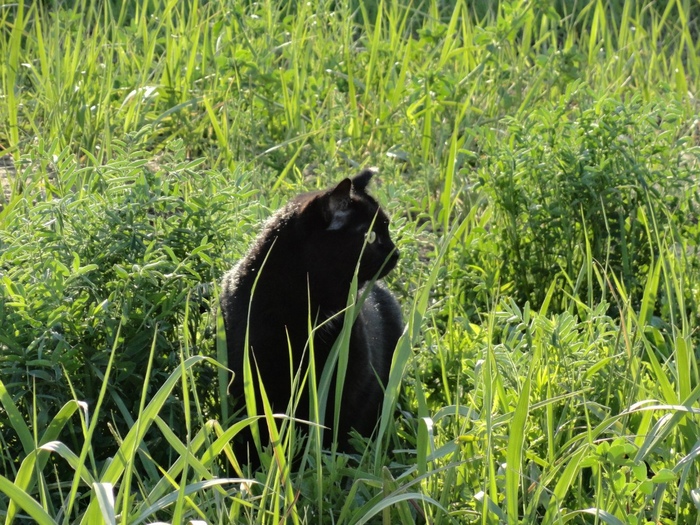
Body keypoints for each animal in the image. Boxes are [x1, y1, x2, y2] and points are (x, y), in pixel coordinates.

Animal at [221, 169, 402, 466]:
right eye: (371, 236)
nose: (396, 252)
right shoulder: (250, 376)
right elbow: (258, 430)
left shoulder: (350, 378)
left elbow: (336, 428)